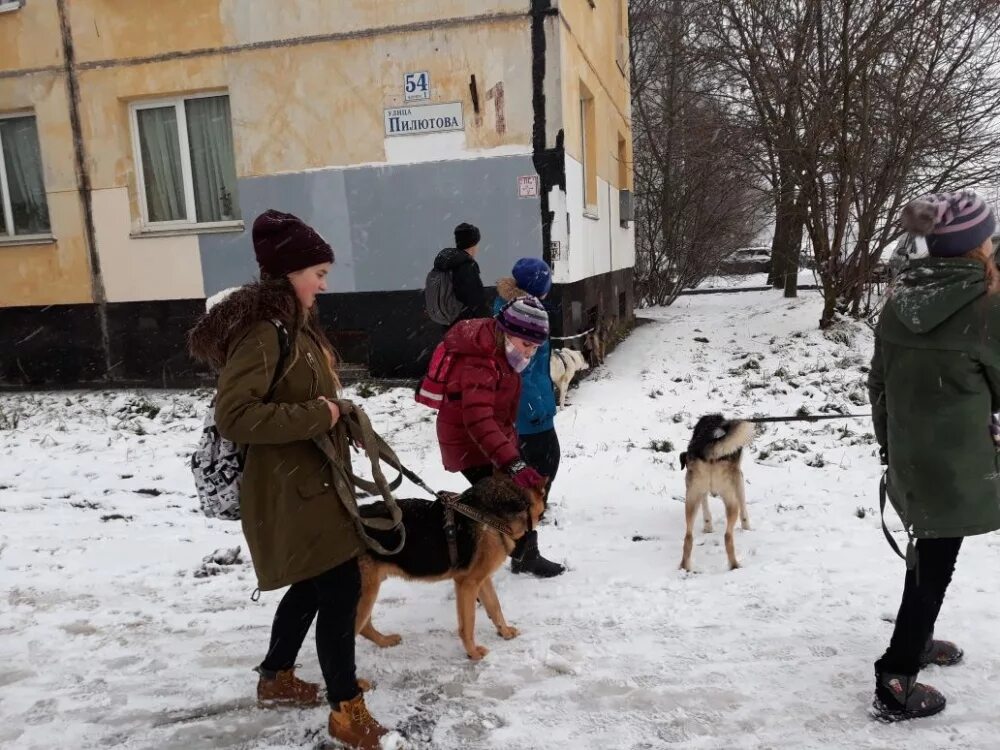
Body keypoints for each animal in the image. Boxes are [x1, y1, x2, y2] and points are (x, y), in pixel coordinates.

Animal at [356, 478, 548, 660]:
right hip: (366, 595)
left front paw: (505, 632)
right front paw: (473, 653)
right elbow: (468, 623)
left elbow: (495, 607)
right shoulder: (467, 584)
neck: (492, 515)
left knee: (365, 626)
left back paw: (384, 641)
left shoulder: (482, 580)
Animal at [676, 418, 752, 568]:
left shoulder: (699, 490)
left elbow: (705, 506)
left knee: (688, 536)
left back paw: (685, 566)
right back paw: (734, 565)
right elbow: (743, 502)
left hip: (691, 497)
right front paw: (747, 526)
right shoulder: (738, 477)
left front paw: (708, 527)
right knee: (727, 536)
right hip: (730, 498)